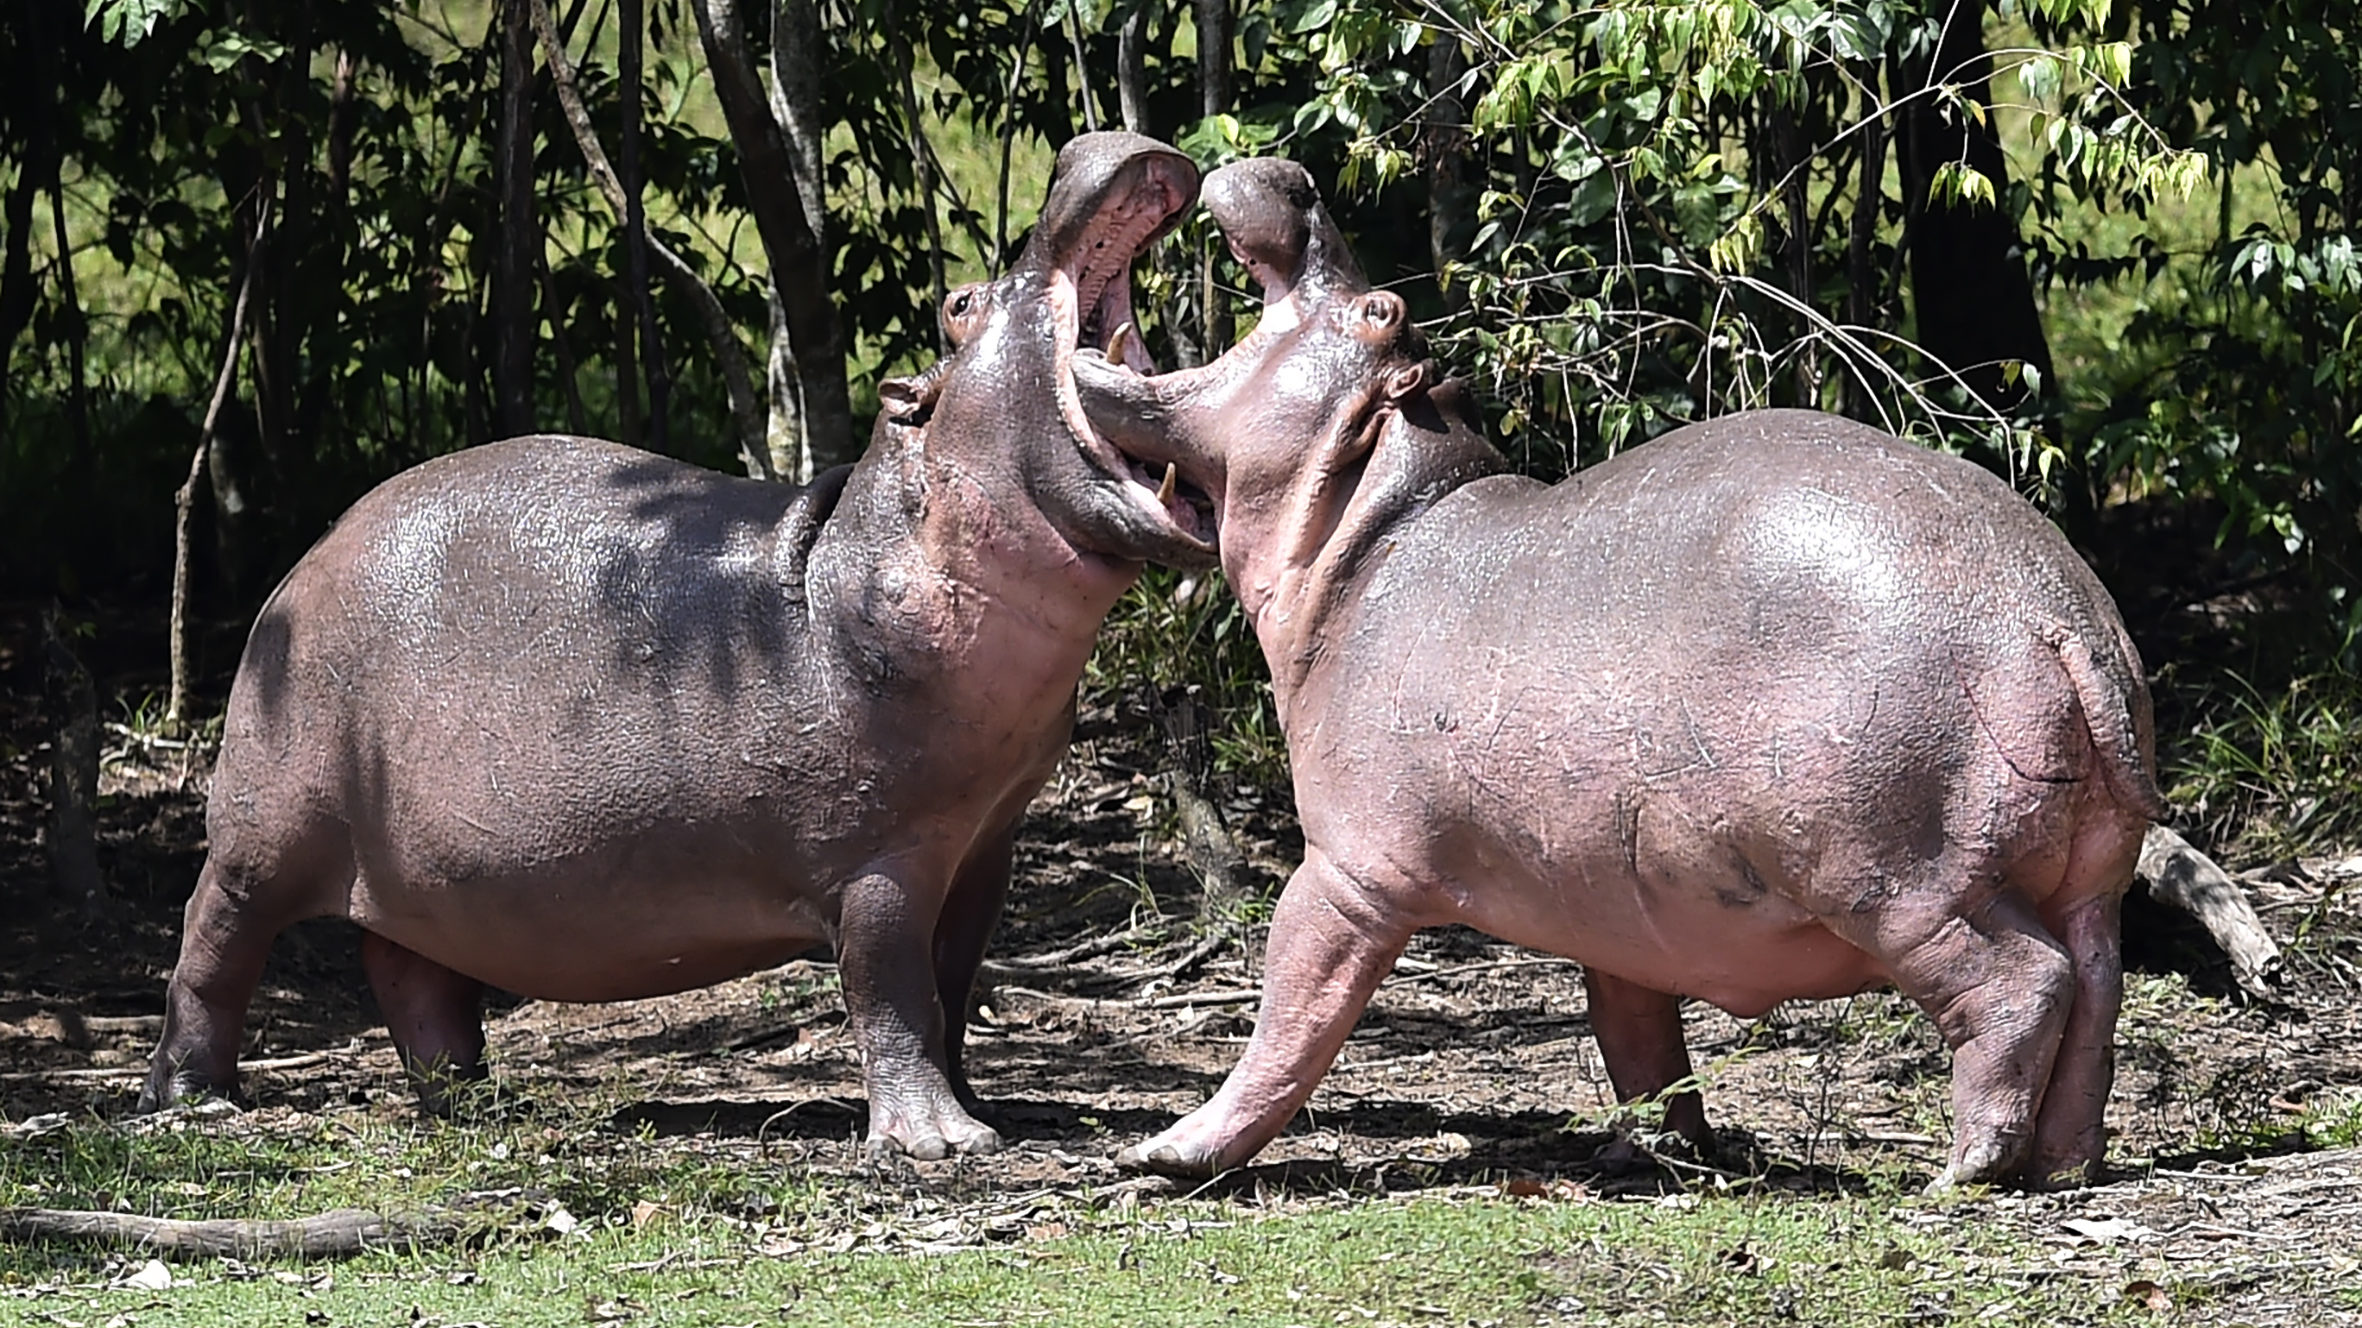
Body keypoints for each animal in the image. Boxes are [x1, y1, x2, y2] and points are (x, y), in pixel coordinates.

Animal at [142, 129, 1218, 1153]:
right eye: (959, 303)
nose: (1084, 149)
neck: (876, 550)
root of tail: (309, 556)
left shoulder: (985, 845)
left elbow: (952, 991)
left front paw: (985, 1107)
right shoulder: (877, 859)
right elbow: (892, 995)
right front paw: (940, 1142)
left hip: (418, 868)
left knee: (411, 969)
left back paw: (477, 1099)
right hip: (264, 831)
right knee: (211, 941)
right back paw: (191, 1100)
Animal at [1081, 160, 2163, 1181]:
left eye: (1375, 309)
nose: (1298, 179)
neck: (1375, 526)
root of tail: (2053, 617)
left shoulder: (1348, 871)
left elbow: (1290, 1014)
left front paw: (1160, 1156)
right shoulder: (1611, 908)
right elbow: (1637, 1039)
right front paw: (1660, 1153)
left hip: (1895, 877)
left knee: (2019, 984)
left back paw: (1967, 1169)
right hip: (2083, 876)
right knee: (2096, 994)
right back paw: (2064, 1164)